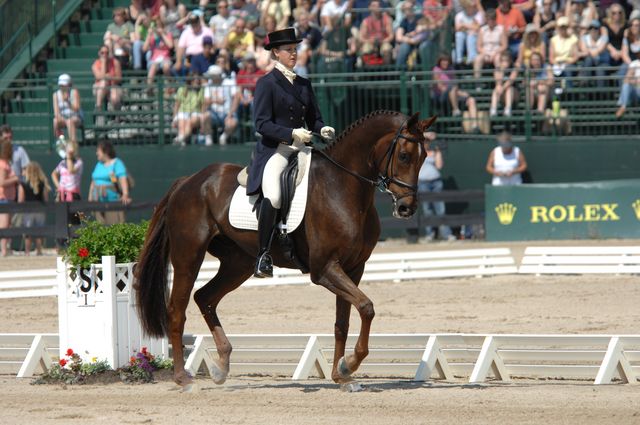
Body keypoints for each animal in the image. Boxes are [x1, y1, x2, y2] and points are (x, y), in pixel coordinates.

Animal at [135, 110, 436, 389]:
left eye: (424, 157)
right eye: (405, 156)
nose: (406, 208)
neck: (342, 187)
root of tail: (188, 181)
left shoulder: (353, 268)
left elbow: (344, 322)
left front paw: (341, 375)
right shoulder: (324, 269)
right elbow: (366, 306)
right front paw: (349, 365)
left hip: (237, 263)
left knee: (205, 297)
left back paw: (222, 365)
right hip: (189, 256)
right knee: (177, 310)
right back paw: (182, 378)